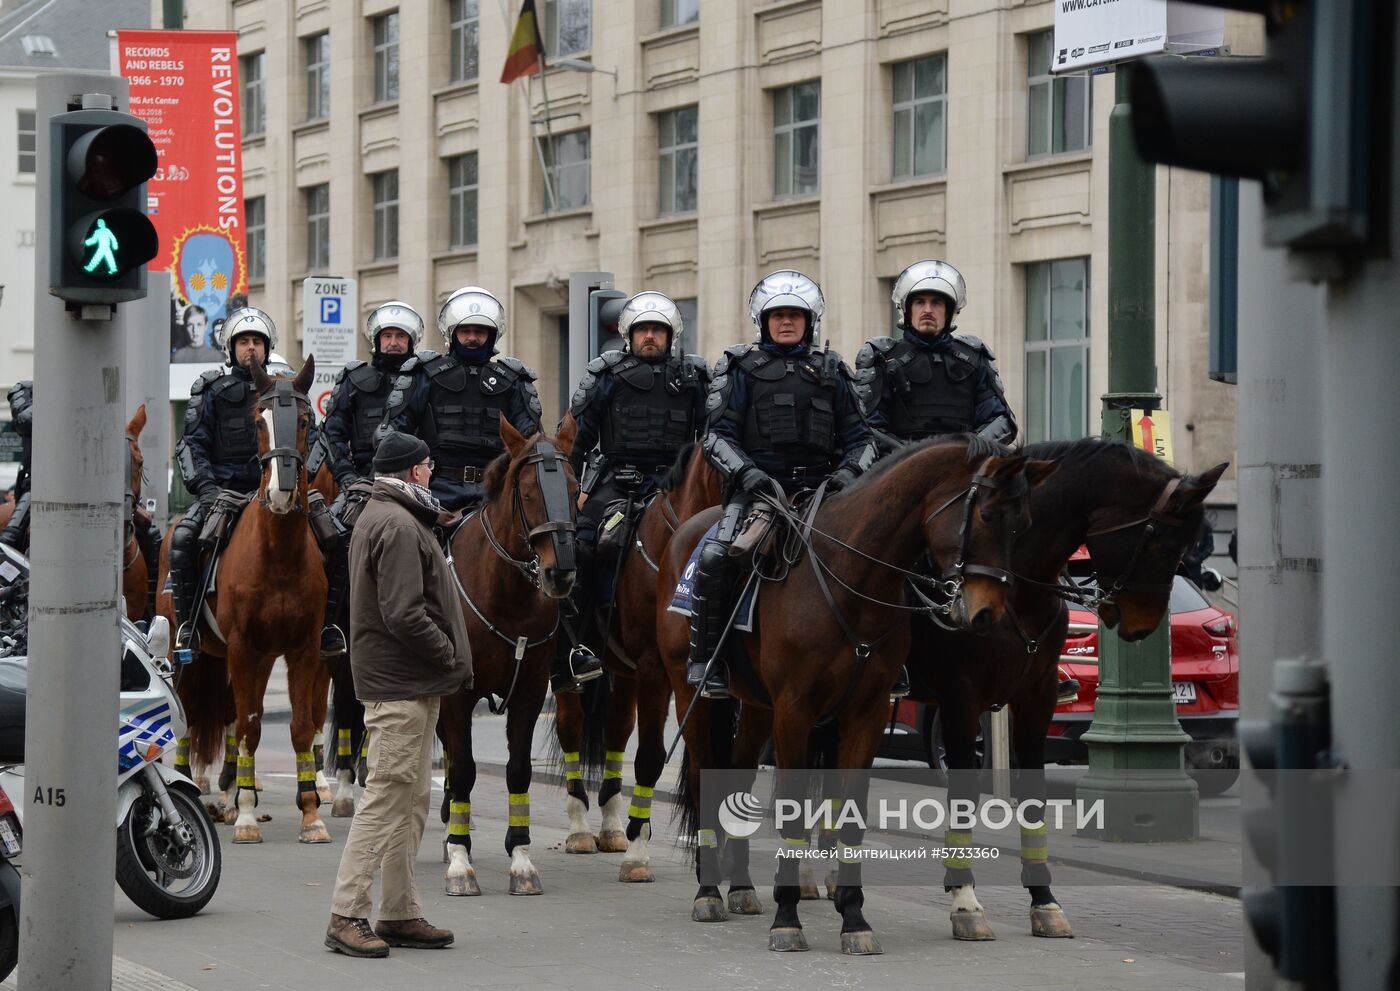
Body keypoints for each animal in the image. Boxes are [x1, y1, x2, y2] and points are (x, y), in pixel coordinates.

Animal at [162, 355, 331, 845]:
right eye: (259, 419)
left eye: (306, 420)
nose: (281, 491)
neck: (278, 554)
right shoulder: (242, 647)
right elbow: (252, 726)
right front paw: (248, 819)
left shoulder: (303, 648)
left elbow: (299, 726)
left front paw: (310, 814)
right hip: (188, 651)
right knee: (189, 716)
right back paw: (199, 790)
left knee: (231, 716)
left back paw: (229, 796)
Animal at [442, 414, 585, 895]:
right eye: (527, 493)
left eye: (575, 488)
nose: (561, 573)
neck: (506, 596)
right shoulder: (457, 695)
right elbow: (465, 770)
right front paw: (460, 862)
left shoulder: (529, 691)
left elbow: (518, 769)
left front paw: (521, 859)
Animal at [548, 442, 728, 873]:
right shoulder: (656, 671)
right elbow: (650, 755)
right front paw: (639, 851)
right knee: (570, 726)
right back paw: (580, 828)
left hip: (624, 672)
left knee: (616, 730)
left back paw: (613, 826)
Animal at [660, 439, 1052, 951]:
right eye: (987, 515)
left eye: (1023, 524)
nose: (987, 614)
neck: (850, 578)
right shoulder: (796, 711)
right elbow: (791, 812)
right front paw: (788, 919)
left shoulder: (865, 712)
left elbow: (850, 814)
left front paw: (854, 918)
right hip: (695, 695)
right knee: (704, 777)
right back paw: (708, 893)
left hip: (757, 708)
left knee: (739, 779)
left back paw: (742, 888)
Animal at [907, 442, 1226, 946]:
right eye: (1161, 542)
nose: (1146, 628)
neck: (1016, 587)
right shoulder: (961, 703)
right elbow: (964, 798)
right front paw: (965, 901)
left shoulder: (1035, 700)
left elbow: (1033, 796)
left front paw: (1044, 901)